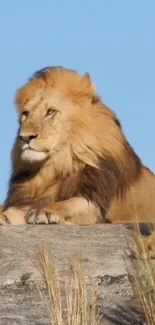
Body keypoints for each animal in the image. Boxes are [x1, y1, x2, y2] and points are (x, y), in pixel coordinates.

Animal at [0, 65, 155, 248]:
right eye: (25, 114)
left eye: (50, 112)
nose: (24, 137)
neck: (57, 166)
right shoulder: (26, 201)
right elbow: (11, 212)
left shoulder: (95, 205)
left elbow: (70, 203)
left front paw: (45, 212)